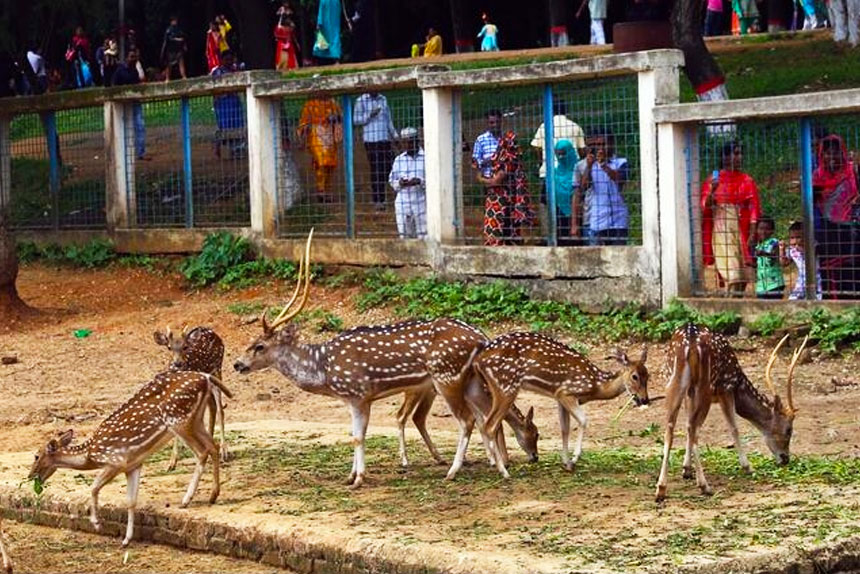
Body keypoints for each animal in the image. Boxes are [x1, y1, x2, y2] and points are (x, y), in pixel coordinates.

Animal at [28, 374, 230, 548]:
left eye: (36, 456)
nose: (30, 476)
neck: (90, 455)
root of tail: (206, 377)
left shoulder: (115, 460)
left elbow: (93, 487)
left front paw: (97, 524)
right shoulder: (133, 465)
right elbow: (131, 501)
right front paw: (126, 540)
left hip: (179, 419)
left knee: (202, 452)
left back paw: (186, 499)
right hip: (196, 419)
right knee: (213, 446)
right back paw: (213, 495)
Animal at [154, 326, 228, 470]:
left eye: (185, 347)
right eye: (169, 347)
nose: (178, 363)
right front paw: (172, 462)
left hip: (217, 369)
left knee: (220, 408)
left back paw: (224, 452)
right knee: (212, 405)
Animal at [232, 232, 536, 488]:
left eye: (259, 346)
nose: (237, 364)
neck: (324, 370)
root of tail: (481, 338)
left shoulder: (359, 394)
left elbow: (359, 436)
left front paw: (358, 479)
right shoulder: (351, 400)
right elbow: (354, 434)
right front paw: (350, 475)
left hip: (445, 376)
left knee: (467, 420)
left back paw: (452, 470)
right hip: (468, 379)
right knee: (484, 418)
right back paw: (495, 465)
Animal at [474, 332, 648, 482]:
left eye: (648, 375)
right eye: (635, 376)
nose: (645, 399)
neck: (596, 386)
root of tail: (478, 360)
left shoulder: (559, 398)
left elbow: (564, 428)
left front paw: (567, 463)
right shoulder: (566, 392)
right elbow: (583, 421)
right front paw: (575, 458)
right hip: (506, 386)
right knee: (490, 425)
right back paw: (504, 471)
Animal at [656, 326, 808, 506]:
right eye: (789, 429)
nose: (785, 459)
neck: (738, 383)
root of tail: (690, 343)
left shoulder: (690, 394)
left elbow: (686, 426)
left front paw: (686, 469)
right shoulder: (726, 388)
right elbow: (734, 427)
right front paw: (747, 467)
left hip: (673, 381)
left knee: (671, 427)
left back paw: (661, 489)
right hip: (705, 387)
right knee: (695, 429)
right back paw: (704, 486)